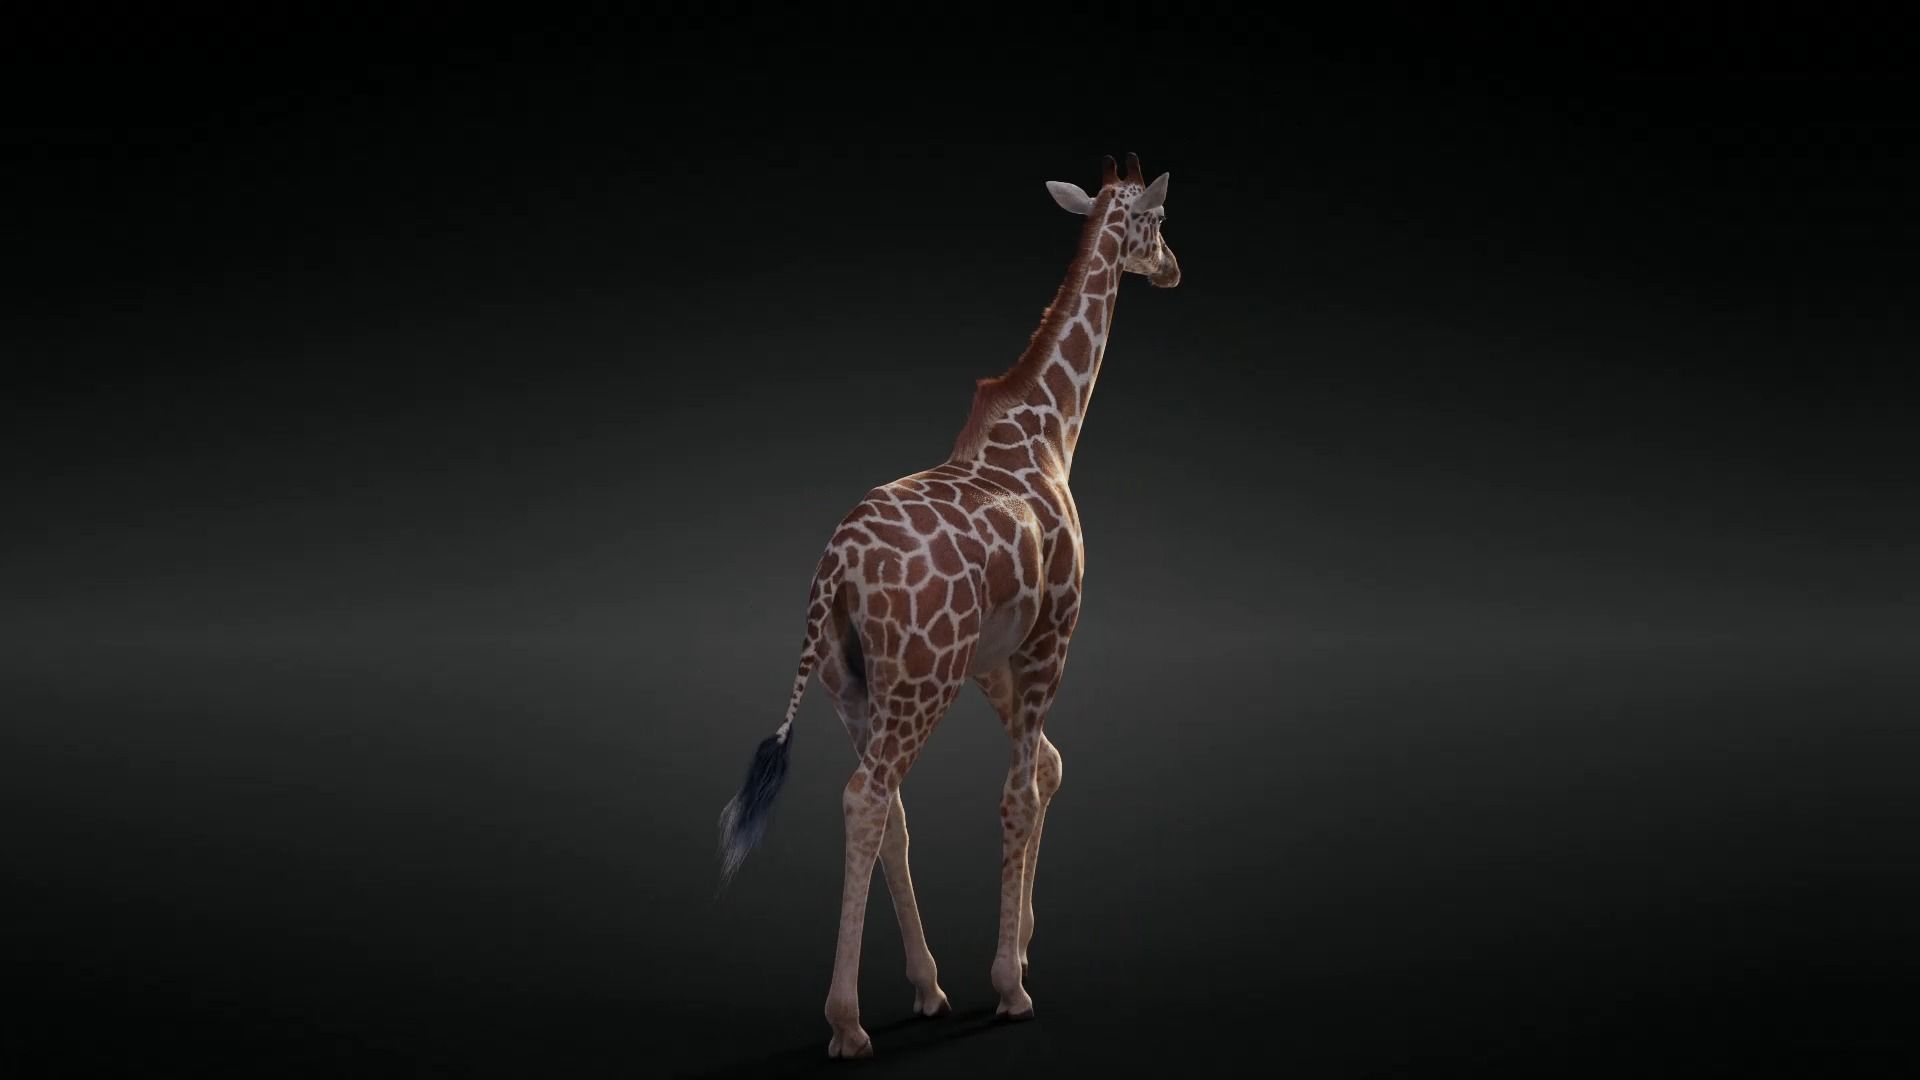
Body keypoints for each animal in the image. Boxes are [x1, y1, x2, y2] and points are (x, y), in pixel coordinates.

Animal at [717, 152, 1179, 1059]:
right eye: (1155, 220)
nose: (1174, 268)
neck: (1049, 431)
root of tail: (837, 571)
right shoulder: (1051, 635)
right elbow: (1022, 790)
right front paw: (1011, 984)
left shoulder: (993, 657)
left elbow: (1047, 767)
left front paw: (1019, 948)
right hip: (917, 681)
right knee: (867, 796)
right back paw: (848, 1022)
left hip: (854, 685)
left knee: (885, 805)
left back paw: (927, 987)